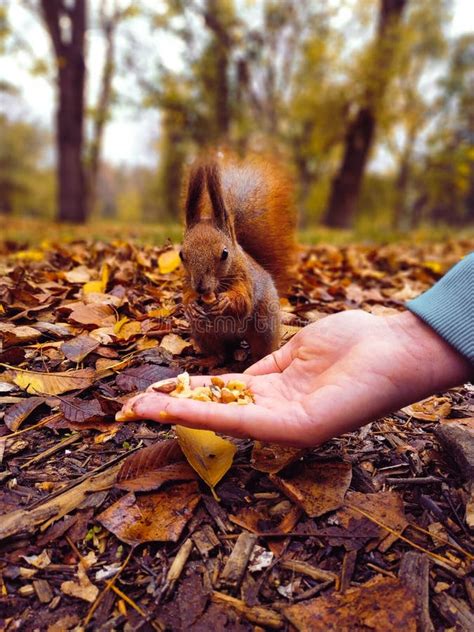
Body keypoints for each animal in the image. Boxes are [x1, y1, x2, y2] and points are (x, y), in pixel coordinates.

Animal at [179, 152, 294, 360]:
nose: (200, 287)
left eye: (224, 254)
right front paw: (191, 305)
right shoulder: (186, 281)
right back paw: (208, 362)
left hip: (264, 326)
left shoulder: (245, 278)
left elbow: (244, 301)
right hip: (206, 334)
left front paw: (226, 301)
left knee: (261, 348)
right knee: (220, 354)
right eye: (181, 254)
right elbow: (186, 296)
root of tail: (237, 338)